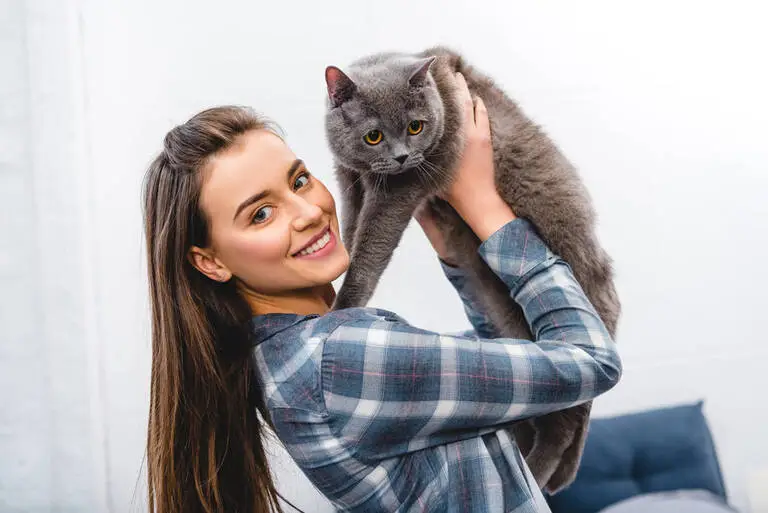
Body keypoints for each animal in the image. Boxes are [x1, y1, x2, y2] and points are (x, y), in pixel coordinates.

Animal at [320, 47, 620, 492]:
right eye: (373, 136)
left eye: (415, 126)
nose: (401, 156)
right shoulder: (350, 179)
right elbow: (351, 228)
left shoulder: (405, 186)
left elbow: (371, 247)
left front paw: (341, 307)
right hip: (509, 314)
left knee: (569, 415)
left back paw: (536, 473)